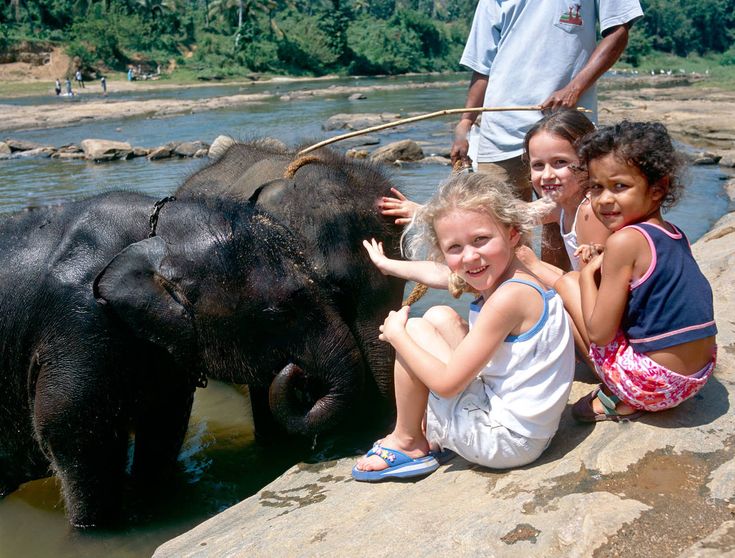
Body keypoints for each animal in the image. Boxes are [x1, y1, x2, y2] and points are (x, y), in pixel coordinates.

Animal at [0, 190, 376, 528]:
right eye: (278, 315)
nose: (296, 370)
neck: (152, 234)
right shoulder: (77, 327)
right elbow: (69, 428)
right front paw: (92, 530)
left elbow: (165, 420)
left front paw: (153, 504)